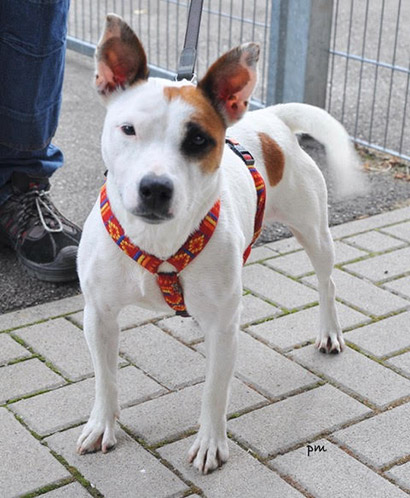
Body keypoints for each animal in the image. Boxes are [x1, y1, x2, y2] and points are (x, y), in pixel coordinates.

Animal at [76, 14, 365, 474]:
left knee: (327, 283)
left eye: (198, 140)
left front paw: (211, 442)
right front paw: (102, 425)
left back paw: (330, 331)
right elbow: (106, 379)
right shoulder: (99, 315)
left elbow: (215, 390)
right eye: (128, 129)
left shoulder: (226, 328)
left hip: (315, 233)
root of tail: (272, 121)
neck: (158, 241)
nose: (155, 188)